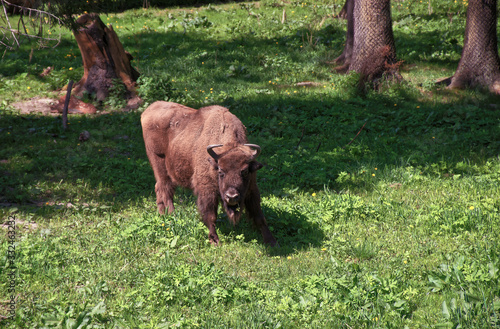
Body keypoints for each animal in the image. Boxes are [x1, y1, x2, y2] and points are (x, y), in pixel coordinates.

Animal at [142, 101, 278, 245]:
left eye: (245, 171)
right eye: (221, 171)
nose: (232, 197)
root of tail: (149, 109)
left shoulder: (251, 189)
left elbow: (259, 216)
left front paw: (272, 241)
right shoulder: (207, 190)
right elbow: (210, 215)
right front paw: (214, 240)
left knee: (159, 188)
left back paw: (162, 215)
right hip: (159, 163)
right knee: (165, 189)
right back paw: (172, 216)